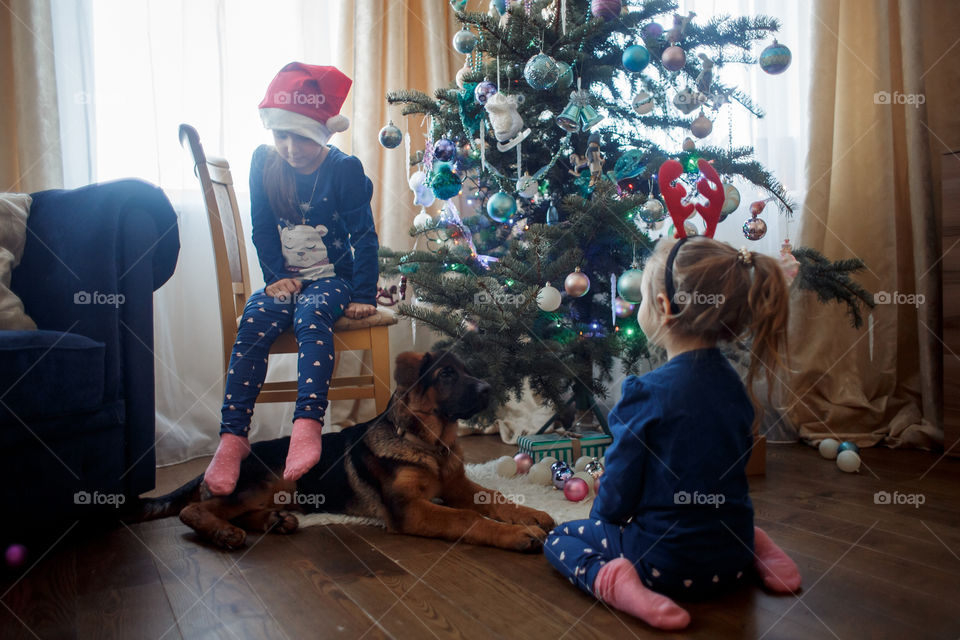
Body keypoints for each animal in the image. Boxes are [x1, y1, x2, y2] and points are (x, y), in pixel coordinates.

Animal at [134, 350, 556, 552]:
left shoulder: (457, 486)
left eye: (467, 370)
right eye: (447, 374)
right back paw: (224, 533)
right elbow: (466, 518)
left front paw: (531, 514)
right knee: (195, 510)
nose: (489, 389)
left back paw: (274, 521)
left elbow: (496, 497)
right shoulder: (410, 510)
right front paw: (516, 534)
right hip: (268, 479)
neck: (429, 444)